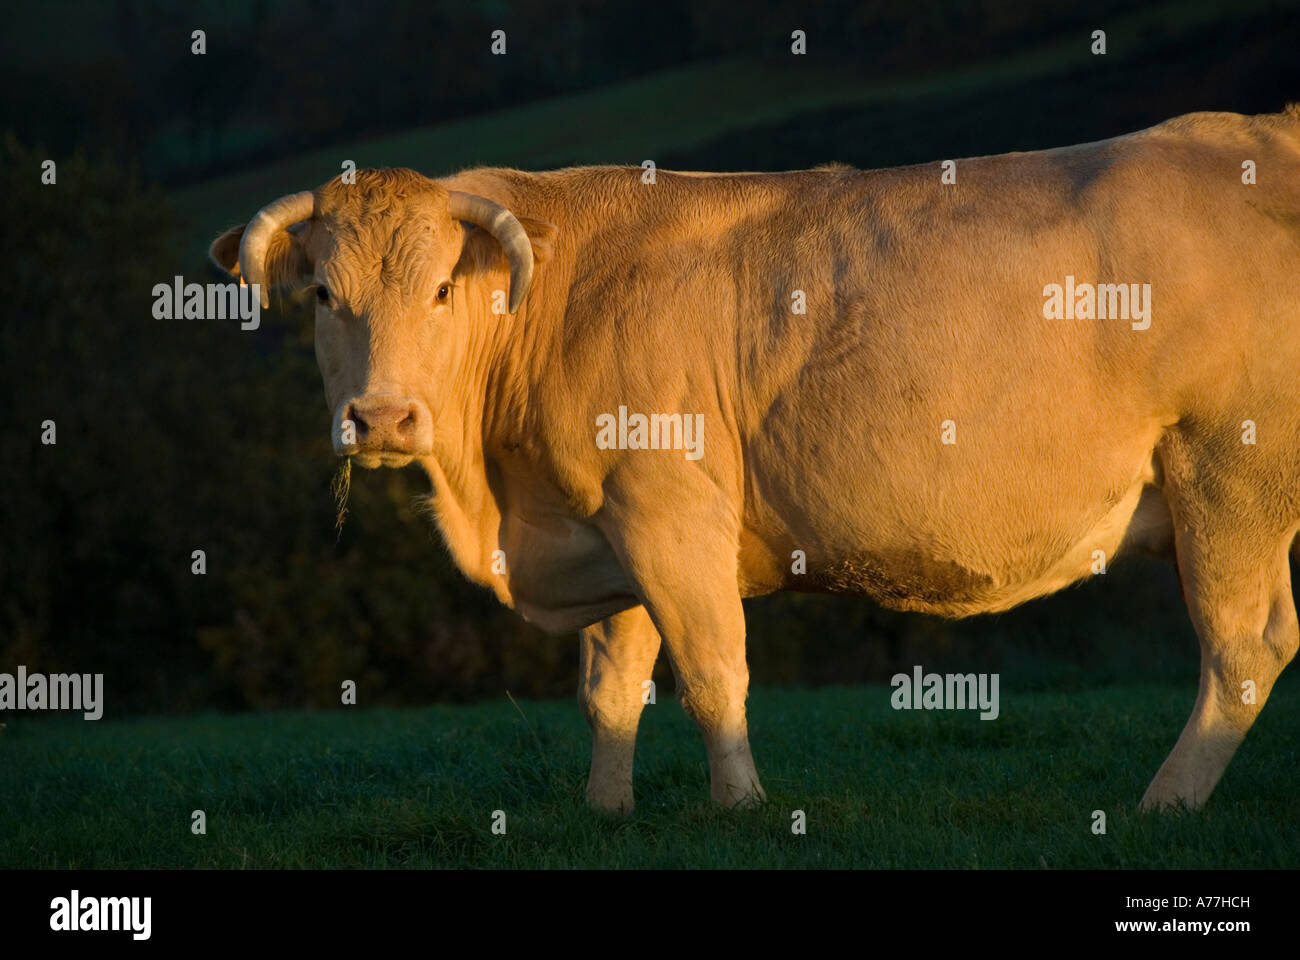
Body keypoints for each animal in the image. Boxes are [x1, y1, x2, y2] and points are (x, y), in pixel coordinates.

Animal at [210, 106, 1300, 813]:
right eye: (323, 295)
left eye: (441, 287)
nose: (383, 418)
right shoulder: (609, 520)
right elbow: (612, 683)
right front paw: (606, 812)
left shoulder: (667, 509)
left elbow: (708, 667)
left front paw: (739, 807)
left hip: (1227, 478)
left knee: (1241, 651)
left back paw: (1165, 803)